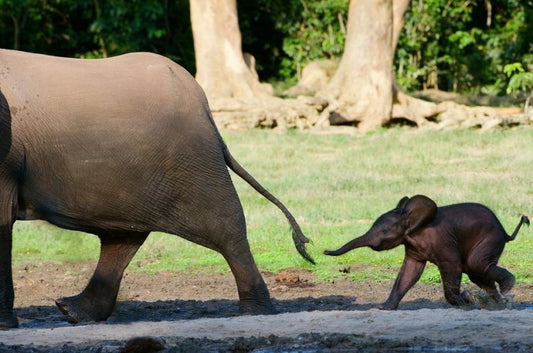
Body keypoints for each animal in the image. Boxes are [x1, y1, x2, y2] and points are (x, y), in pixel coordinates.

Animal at [0, 48, 314, 328]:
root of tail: (205, 108)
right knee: (122, 238)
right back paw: (72, 311)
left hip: (194, 160)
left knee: (226, 229)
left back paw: (256, 313)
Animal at [324, 195, 528, 308]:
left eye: (384, 232)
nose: (324, 251)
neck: (414, 222)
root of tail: (506, 233)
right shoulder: (413, 247)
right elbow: (409, 272)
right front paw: (384, 308)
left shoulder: (444, 241)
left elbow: (452, 266)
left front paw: (466, 301)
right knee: (476, 272)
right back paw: (500, 304)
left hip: (490, 239)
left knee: (475, 265)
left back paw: (507, 287)